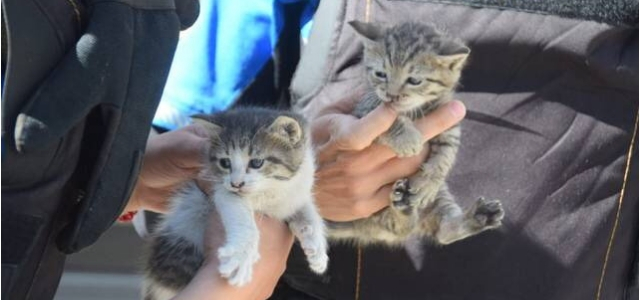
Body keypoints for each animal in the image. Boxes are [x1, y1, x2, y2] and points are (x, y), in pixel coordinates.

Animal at [142, 108, 328, 300]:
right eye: (225, 162)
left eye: (257, 162)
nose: (236, 183)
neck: (272, 189)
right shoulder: (221, 190)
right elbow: (240, 217)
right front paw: (241, 257)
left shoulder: (296, 190)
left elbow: (307, 210)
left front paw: (316, 247)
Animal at [330, 21, 504, 246]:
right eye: (381, 74)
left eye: (414, 80)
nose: (392, 95)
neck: (414, 110)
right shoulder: (363, 110)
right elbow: (386, 117)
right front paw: (407, 138)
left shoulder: (449, 122)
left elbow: (447, 151)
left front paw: (429, 180)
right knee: (399, 226)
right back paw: (403, 209)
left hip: (439, 196)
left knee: (441, 231)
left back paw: (476, 216)